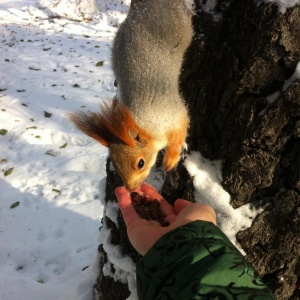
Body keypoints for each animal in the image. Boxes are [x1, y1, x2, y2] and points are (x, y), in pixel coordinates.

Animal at [69, 0, 193, 191]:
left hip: (181, 27)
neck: (146, 125)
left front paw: (170, 160)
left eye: (140, 163)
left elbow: (180, 133)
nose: (130, 188)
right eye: (114, 163)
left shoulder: (174, 116)